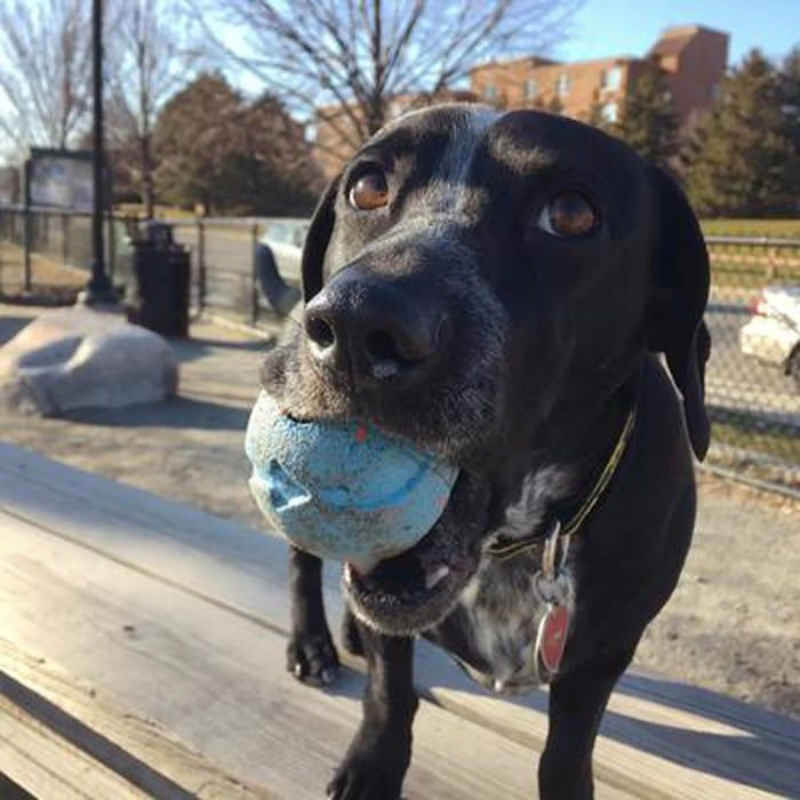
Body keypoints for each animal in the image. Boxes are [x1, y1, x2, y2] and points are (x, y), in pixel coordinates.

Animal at [258, 106, 712, 800]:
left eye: (572, 213)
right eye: (368, 187)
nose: (359, 326)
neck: (521, 540)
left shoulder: (604, 654)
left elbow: (567, 750)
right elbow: (390, 695)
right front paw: (373, 767)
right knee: (303, 561)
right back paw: (313, 641)